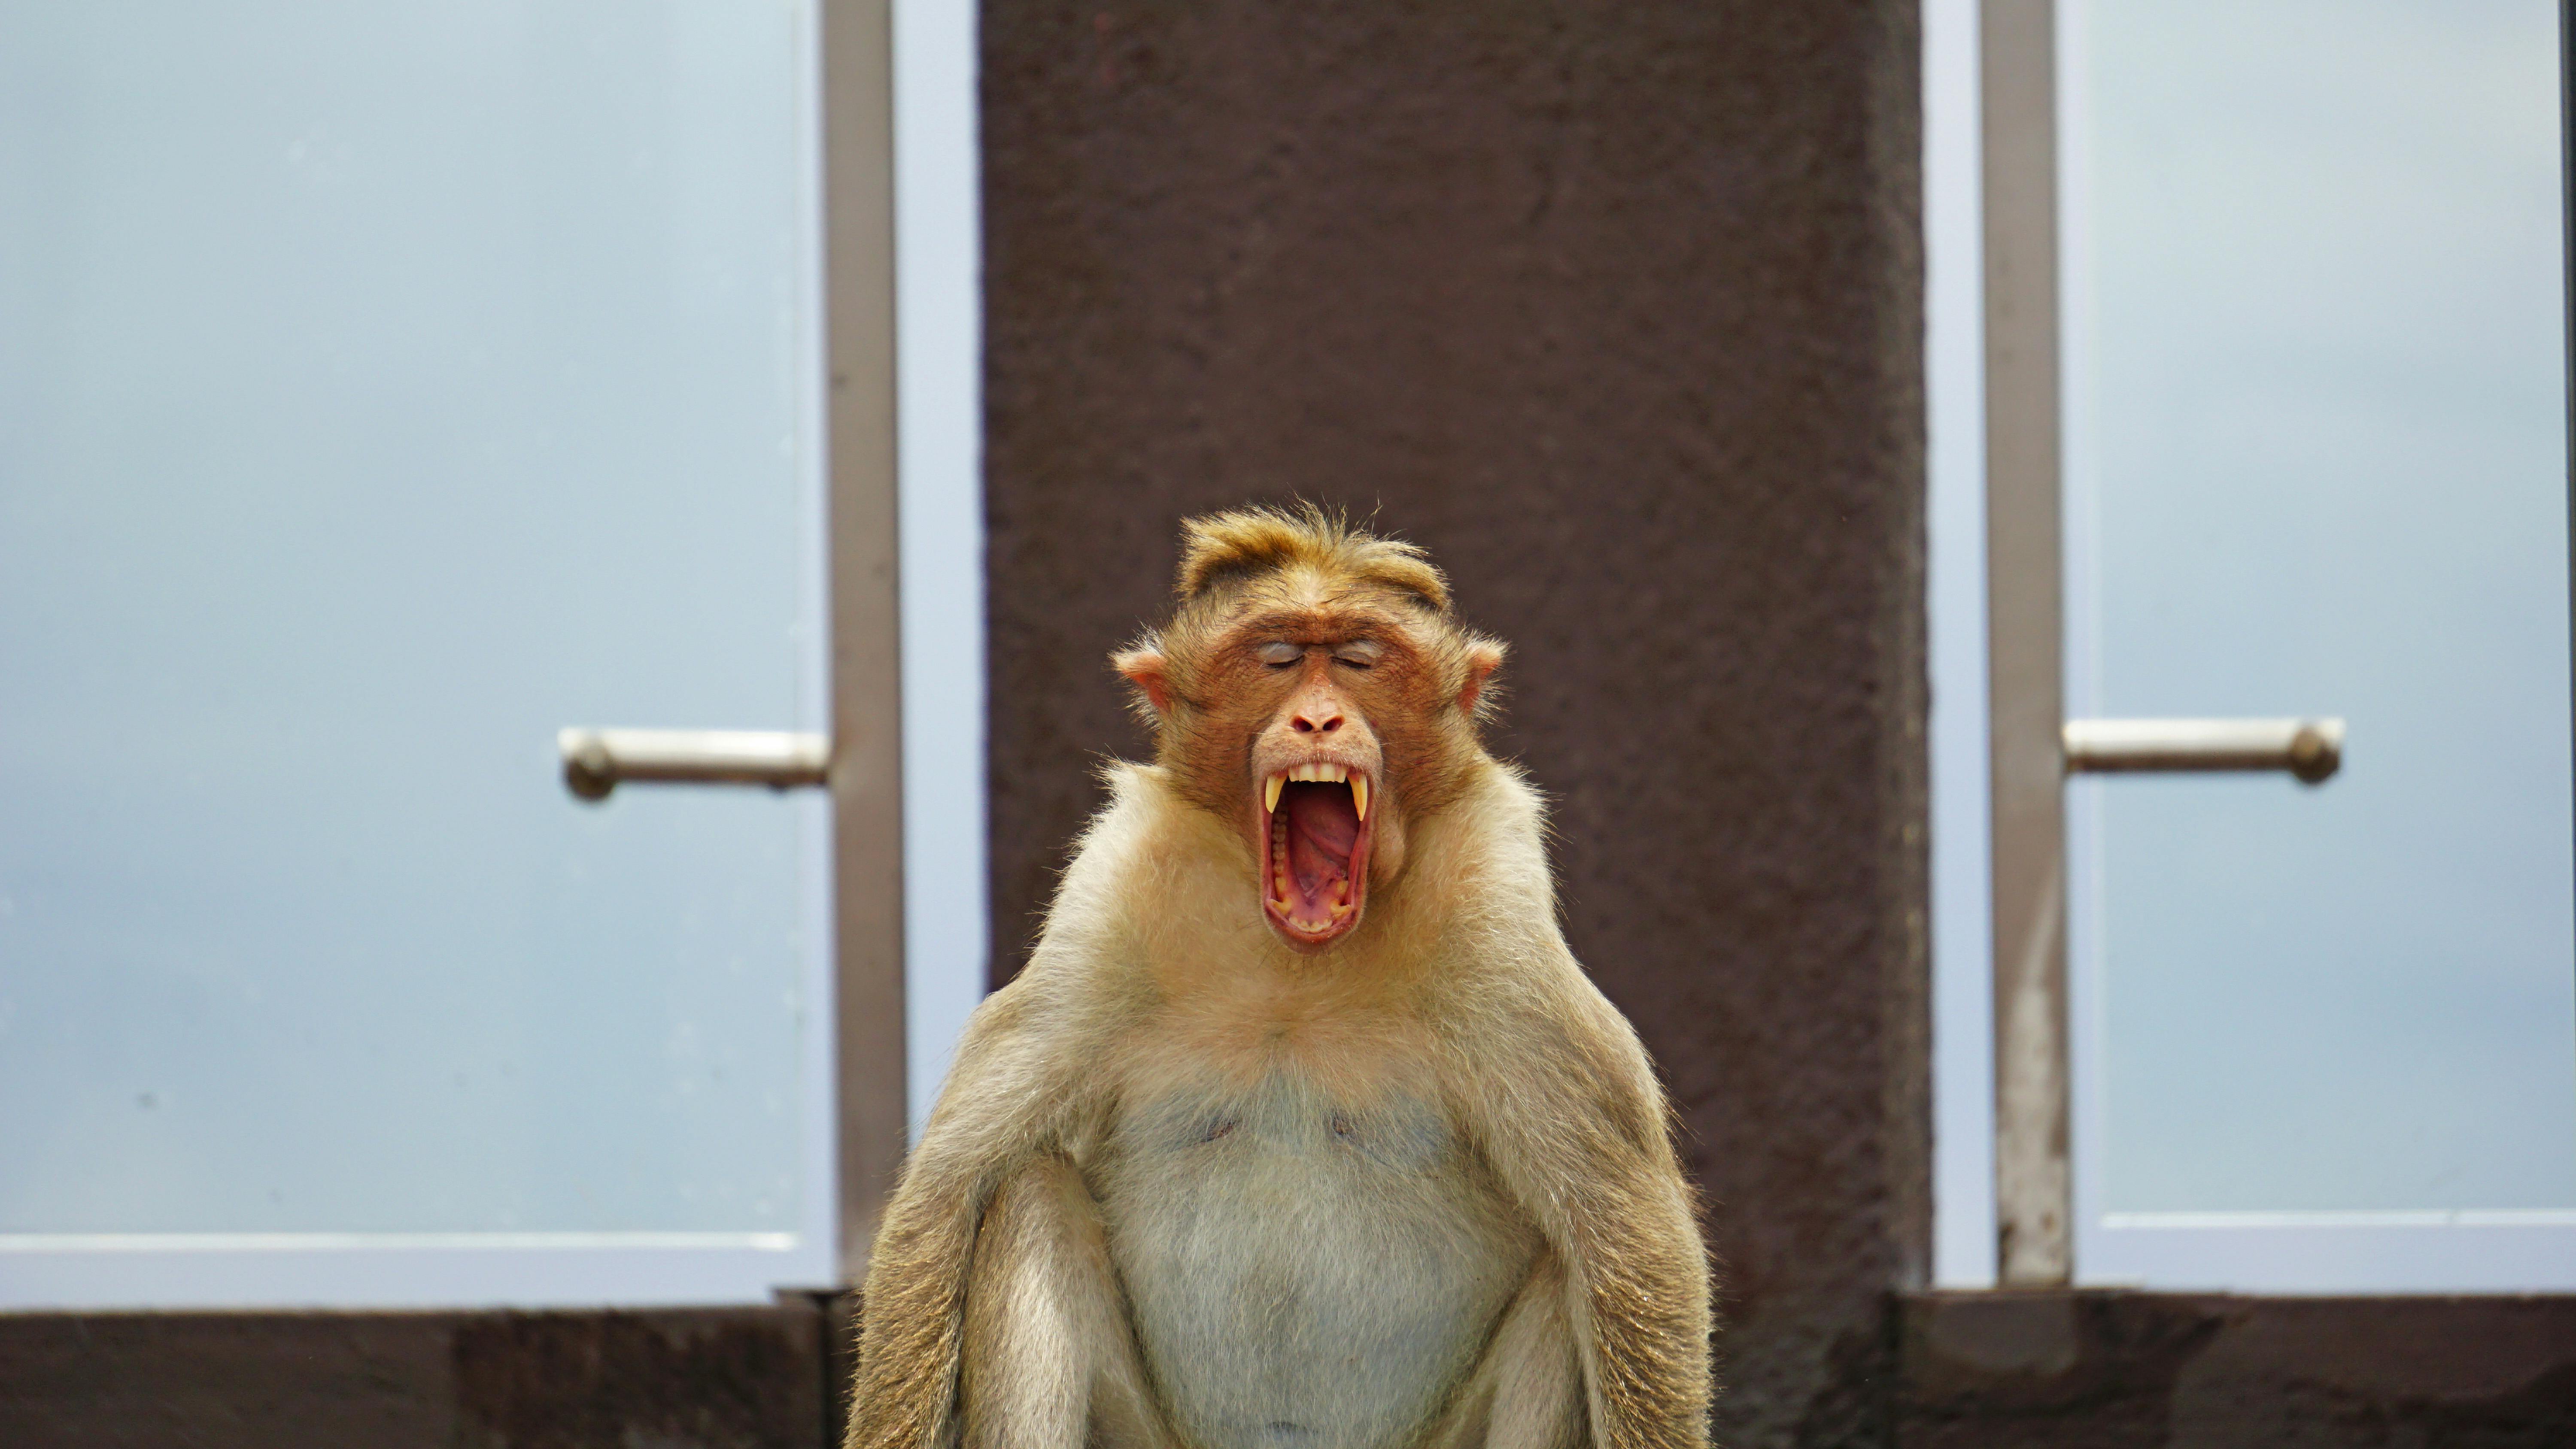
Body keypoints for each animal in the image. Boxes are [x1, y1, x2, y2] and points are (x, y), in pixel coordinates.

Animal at [846, 506, 1711, 1449]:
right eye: (1278, 658)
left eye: (1363, 659)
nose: (1319, 721)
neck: (1299, 970)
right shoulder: (1110, 899)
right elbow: (944, 1196)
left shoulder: (1499, 924)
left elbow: (1625, 1230)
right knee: (1029, 1195)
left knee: (1566, 1280)